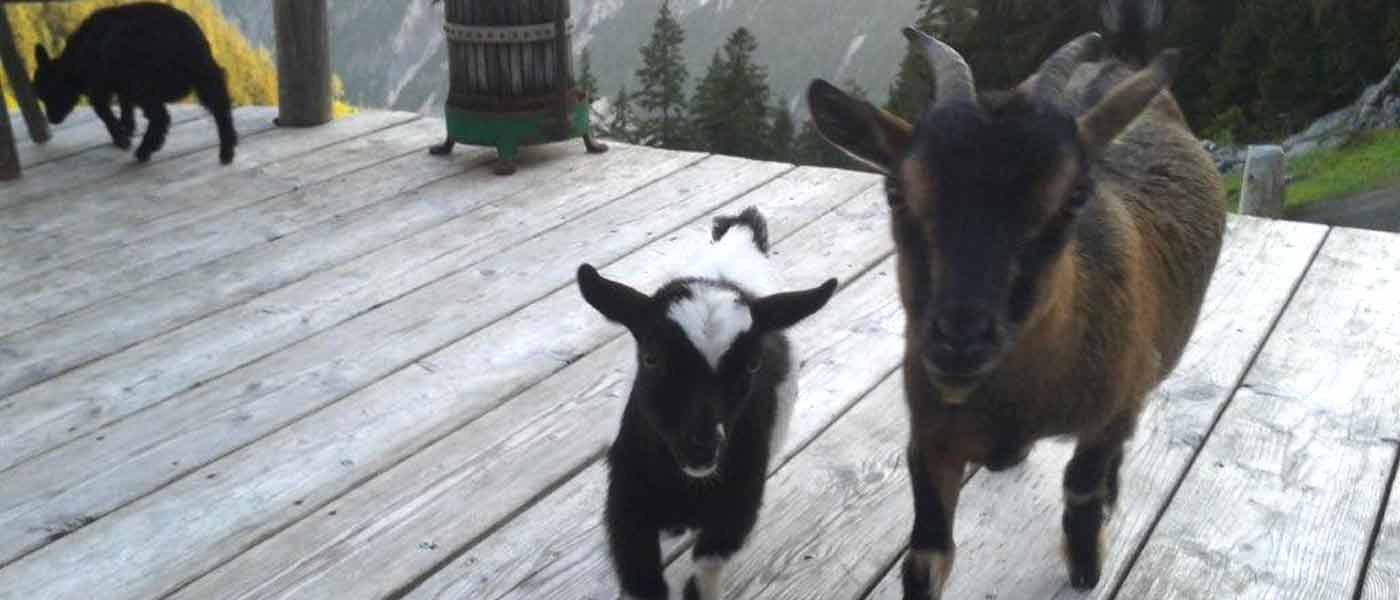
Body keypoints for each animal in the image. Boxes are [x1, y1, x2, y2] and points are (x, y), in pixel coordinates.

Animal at [32, 2, 238, 163]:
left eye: (49, 93)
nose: (52, 119)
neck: (75, 59)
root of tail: (182, 38)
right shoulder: (123, 87)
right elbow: (126, 107)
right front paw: (127, 128)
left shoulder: (99, 88)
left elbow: (105, 114)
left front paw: (120, 138)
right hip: (205, 74)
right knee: (221, 107)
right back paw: (227, 150)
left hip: (145, 85)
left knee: (160, 117)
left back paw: (145, 150)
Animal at [574, 206, 834, 598]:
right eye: (651, 358)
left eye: (752, 364)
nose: (702, 448)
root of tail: (740, 236)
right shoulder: (626, 508)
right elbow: (643, 581)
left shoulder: (737, 508)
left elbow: (705, 569)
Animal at [812, 0, 1226, 593]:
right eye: (895, 191)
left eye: (1074, 196)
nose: (959, 342)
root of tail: (1123, 60)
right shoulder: (931, 437)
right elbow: (926, 557)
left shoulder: (1112, 406)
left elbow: (1082, 484)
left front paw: (1086, 566)